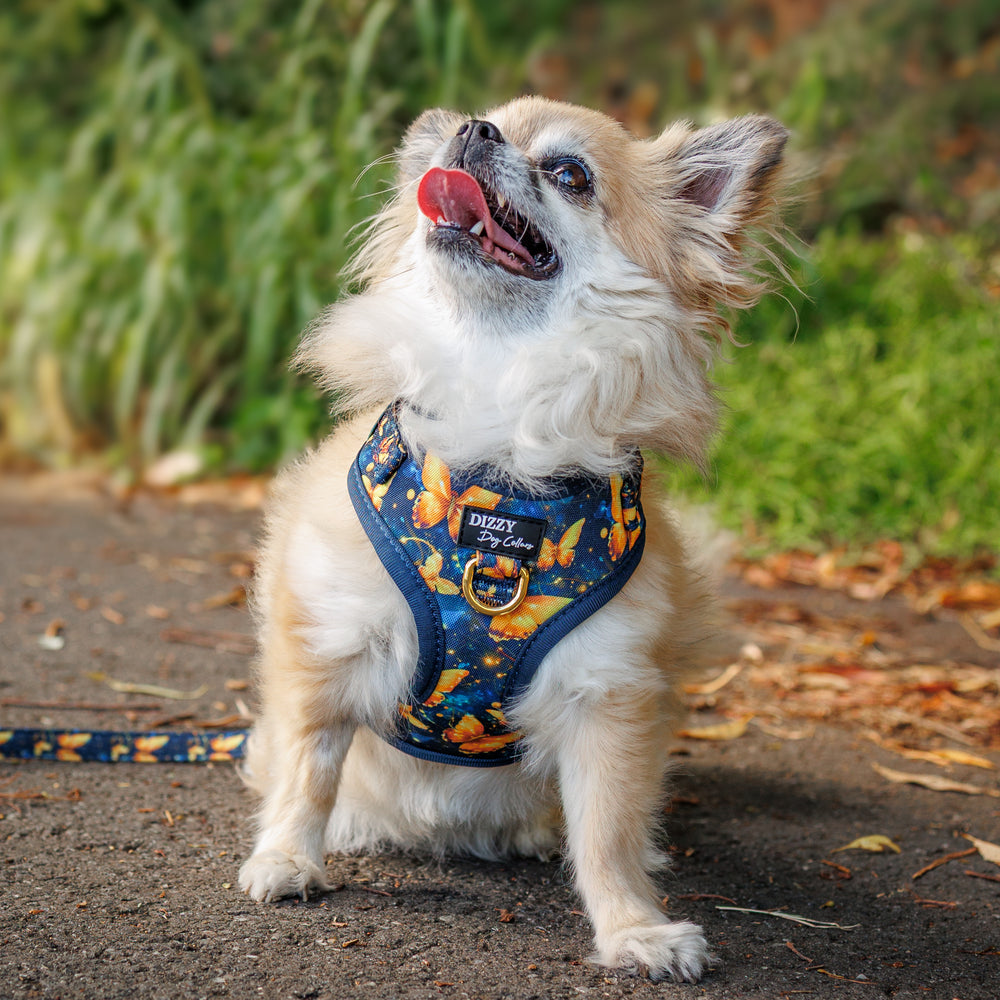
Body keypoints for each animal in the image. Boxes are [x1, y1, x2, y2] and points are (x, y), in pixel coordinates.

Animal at [238, 96, 787, 982]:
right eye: (483, 120)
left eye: (570, 174)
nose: (472, 131)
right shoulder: (325, 641)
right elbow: (307, 768)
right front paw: (287, 858)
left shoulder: (608, 695)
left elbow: (608, 832)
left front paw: (634, 928)